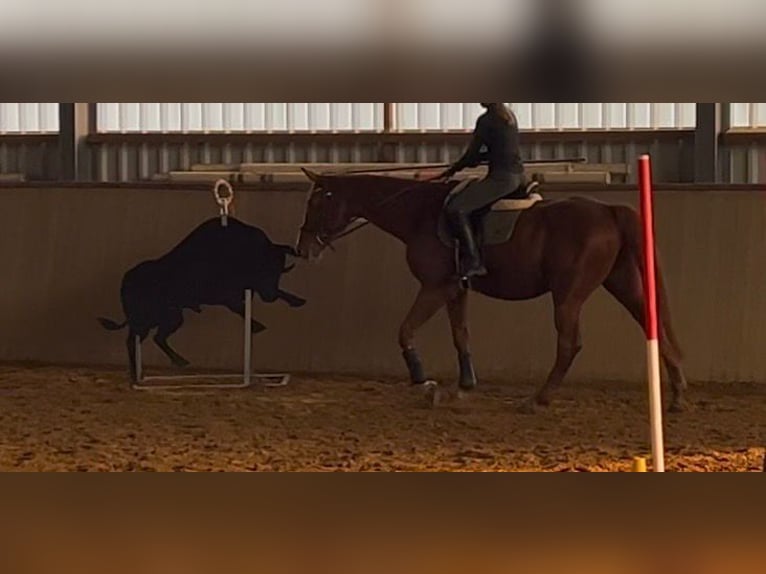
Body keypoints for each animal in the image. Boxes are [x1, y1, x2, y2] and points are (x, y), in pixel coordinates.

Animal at [296, 169, 688, 416]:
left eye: (316, 203)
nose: (303, 250)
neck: (420, 213)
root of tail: (607, 211)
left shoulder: (434, 287)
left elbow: (405, 330)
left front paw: (424, 383)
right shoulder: (455, 289)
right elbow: (461, 335)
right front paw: (462, 387)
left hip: (568, 297)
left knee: (569, 344)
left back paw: (537, 400)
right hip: (622, 283)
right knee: (651, 324)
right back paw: (678, 397)